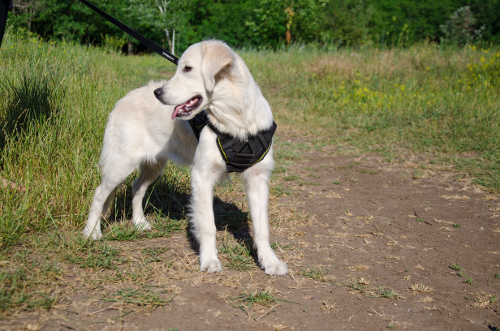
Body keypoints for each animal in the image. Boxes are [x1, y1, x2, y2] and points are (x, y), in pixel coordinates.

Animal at [83, 40, 290, 276]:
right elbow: (208, 225)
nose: (157, 92)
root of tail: (123, 99)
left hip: (154, 165)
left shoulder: (258, 178)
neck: (236, 120)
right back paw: (91, 232)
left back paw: (139, 223)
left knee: (137, 188)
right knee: (99, 193)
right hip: (121, 164)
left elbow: (262, 227)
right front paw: (209, 260)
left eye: (188, 68)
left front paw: (270, 261)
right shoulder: (202, 176)